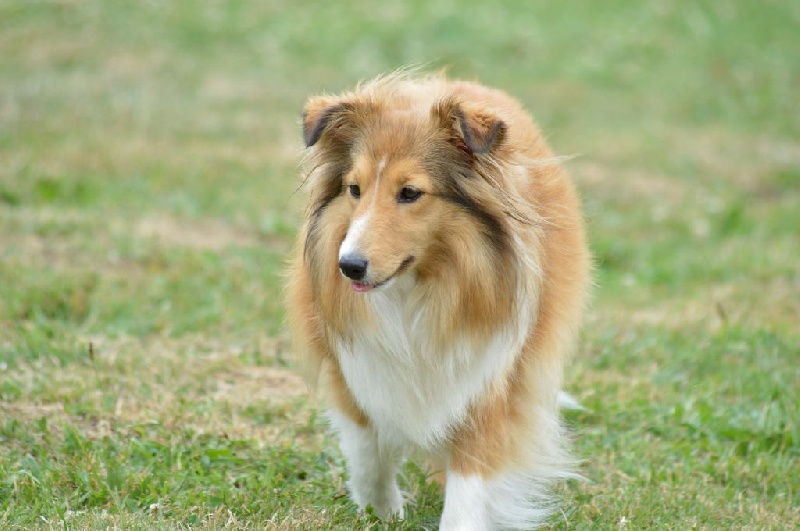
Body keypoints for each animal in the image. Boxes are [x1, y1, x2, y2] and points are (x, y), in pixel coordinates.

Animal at [284, 71, 592, 531]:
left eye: (410, 192)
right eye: (354, 189)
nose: (349, 266)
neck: (417, 290)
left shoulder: (490, 377)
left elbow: (470, 478)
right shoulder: (351, 364)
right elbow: (366, 447)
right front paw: (381, 510)